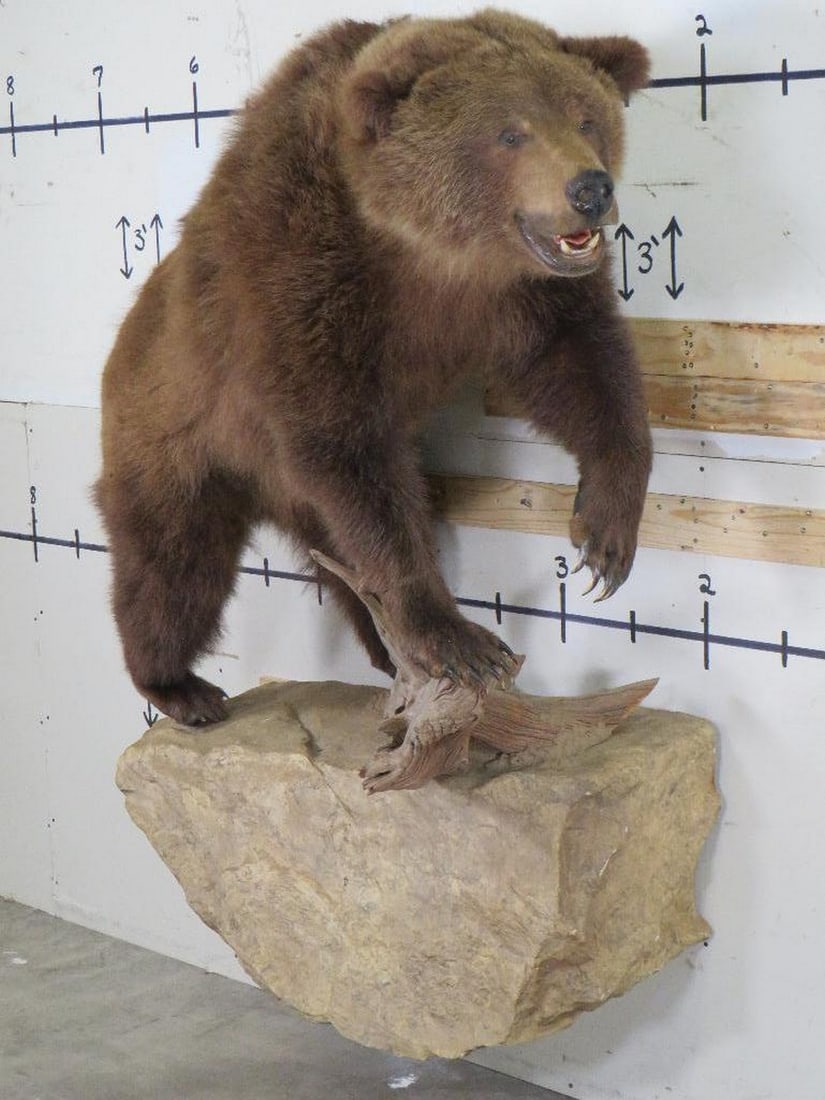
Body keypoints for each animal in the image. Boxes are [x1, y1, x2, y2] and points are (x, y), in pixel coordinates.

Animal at [95, 9, 653, 726]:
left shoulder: (524, 298)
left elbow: (583, 370)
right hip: (175, 440)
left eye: (587, 118)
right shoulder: (300, 285)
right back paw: (182, 687)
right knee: (173, 568)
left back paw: (386, 654)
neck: (425, 256)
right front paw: (463, 639)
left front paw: (605, 536)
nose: (589, 189)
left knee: (336, 561)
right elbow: (352, 460)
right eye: (510, 131)